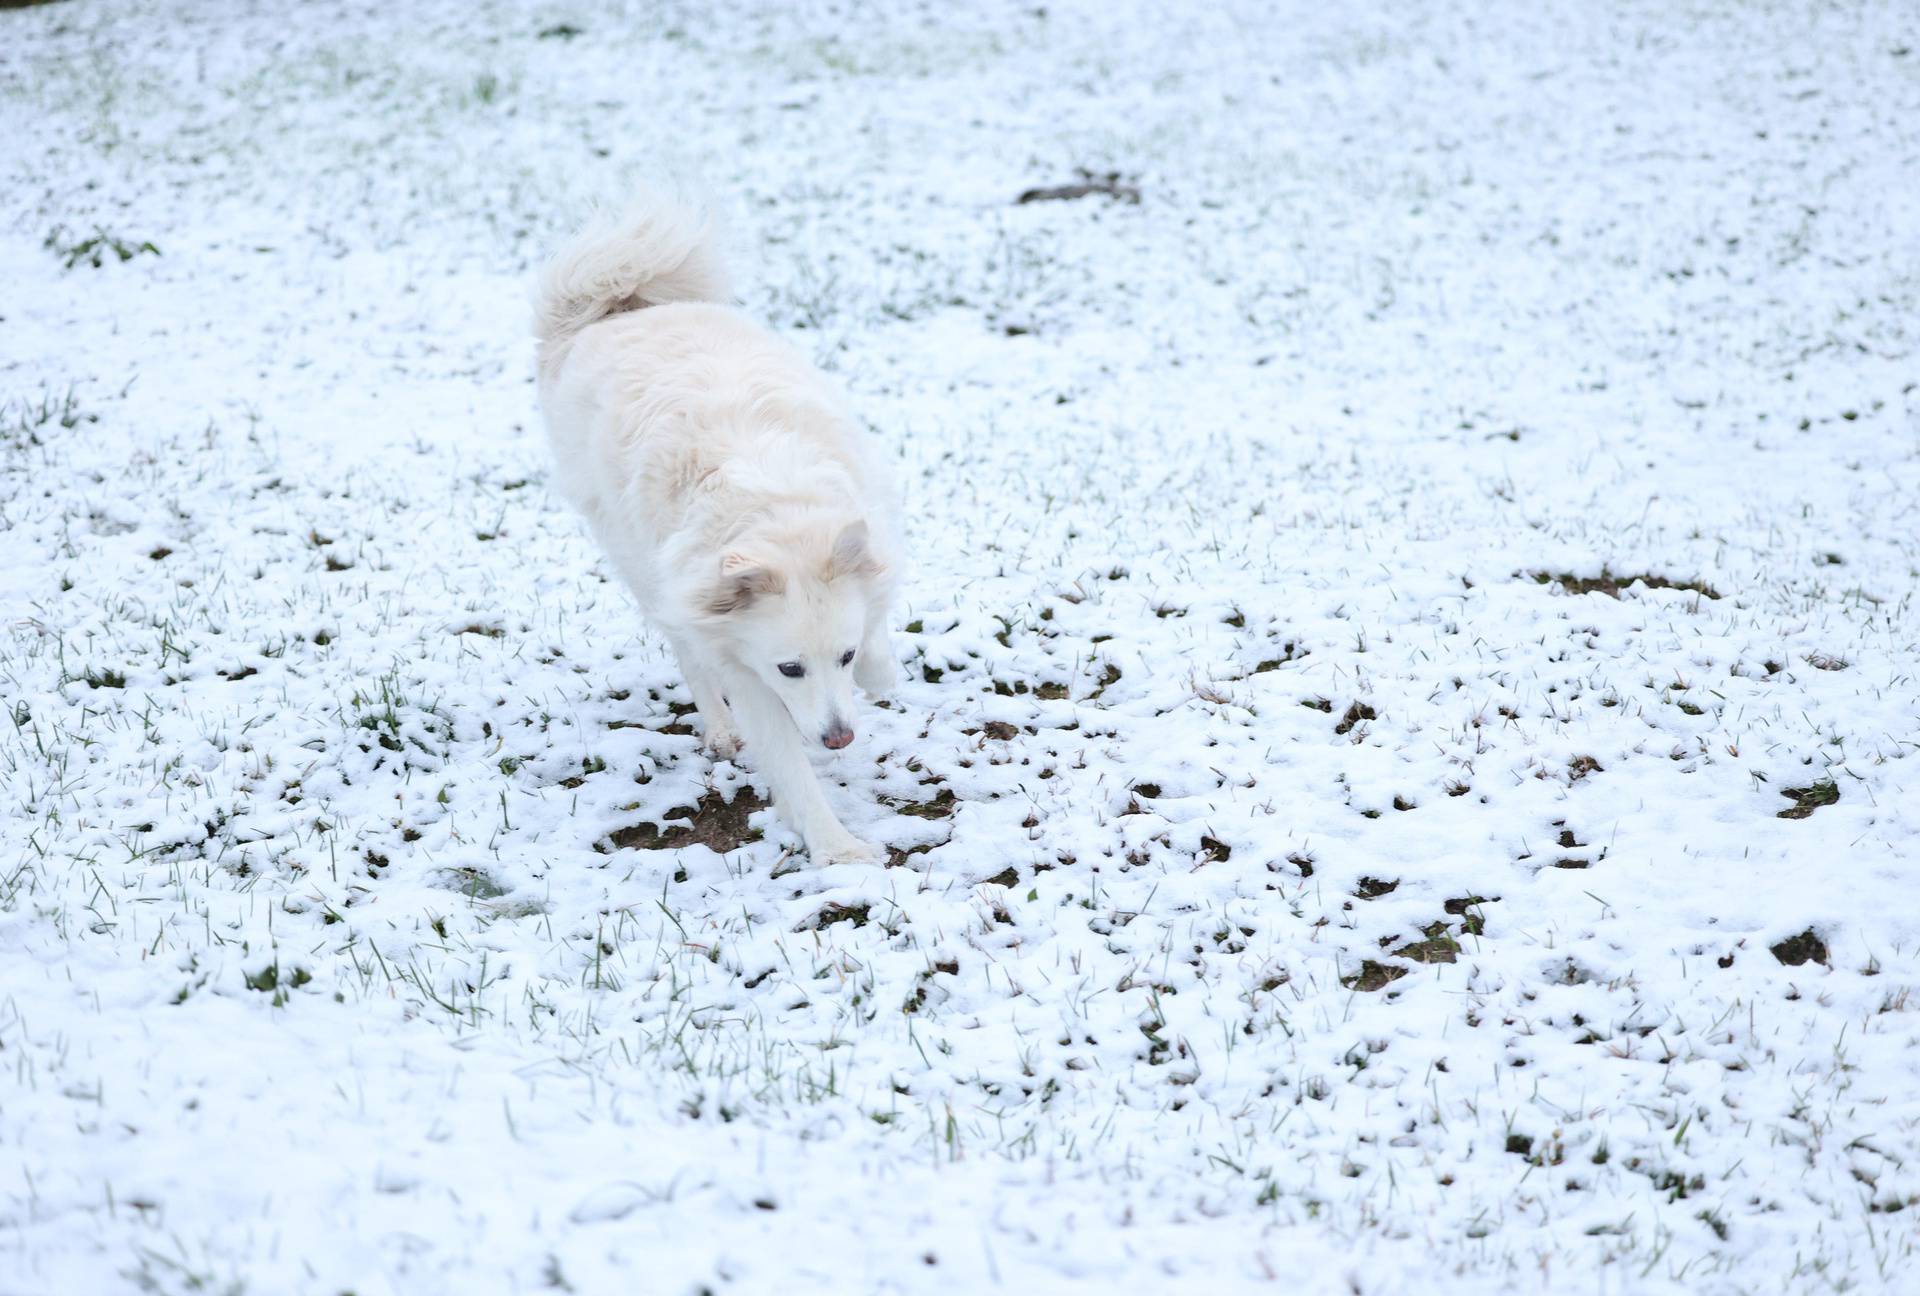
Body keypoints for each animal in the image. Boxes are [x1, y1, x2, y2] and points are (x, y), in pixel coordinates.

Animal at [537, 192, 902, 867]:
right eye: (790, 669)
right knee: (688, 654)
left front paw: (877, 669)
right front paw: (838, 851)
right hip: (639, 564)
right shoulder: (741, 659)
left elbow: (876, 630)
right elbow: (788, 764)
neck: (772, 512)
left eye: (842, 655)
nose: (839, 740)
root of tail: (615, 309)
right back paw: (722, 730)